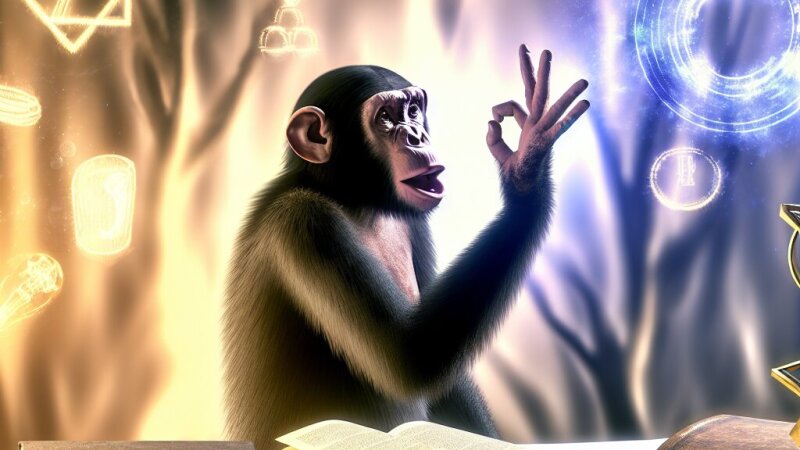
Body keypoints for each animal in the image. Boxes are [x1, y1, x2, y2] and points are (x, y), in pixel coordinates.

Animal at [222, 45, 589, 449]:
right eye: (385, 117)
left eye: (413, 110)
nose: (415, 135)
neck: (353, 198)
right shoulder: (308, 224)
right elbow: (409, 356)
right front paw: (527, 164)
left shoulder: (414, 225)